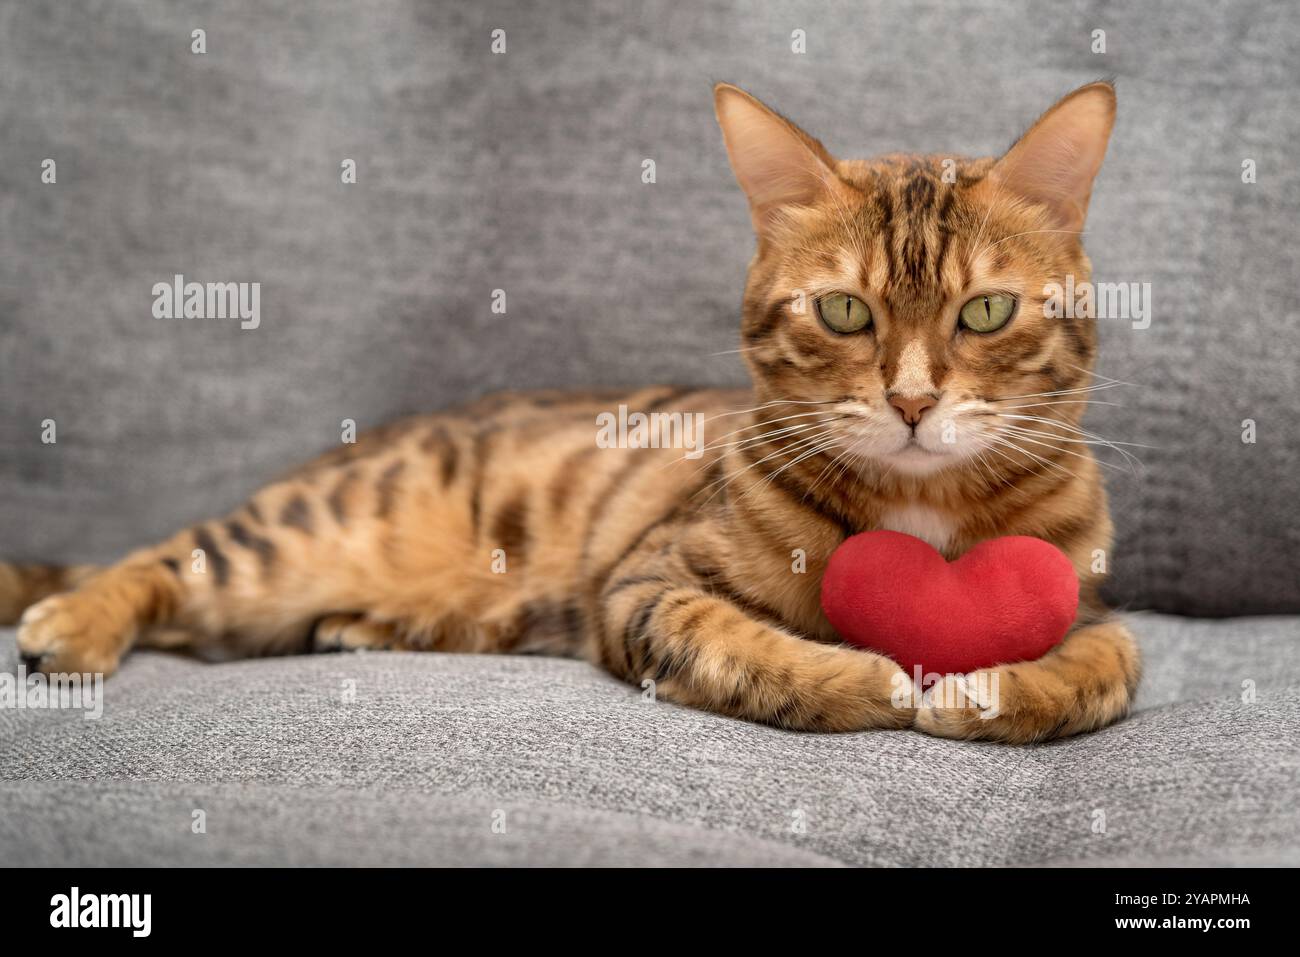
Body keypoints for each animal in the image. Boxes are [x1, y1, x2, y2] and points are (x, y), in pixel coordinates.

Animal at [0, 80, 1138, 738]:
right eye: (844, 311)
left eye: (984, 311)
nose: (909, 400)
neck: (921, 513)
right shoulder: (647, 582)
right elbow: (746, 645)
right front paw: (871, 678)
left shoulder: (1082, 599)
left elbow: (1111, 660)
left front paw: (995, 688)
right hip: (299, 535)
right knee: (156, 560)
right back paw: (73, 625)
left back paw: (352, 629)